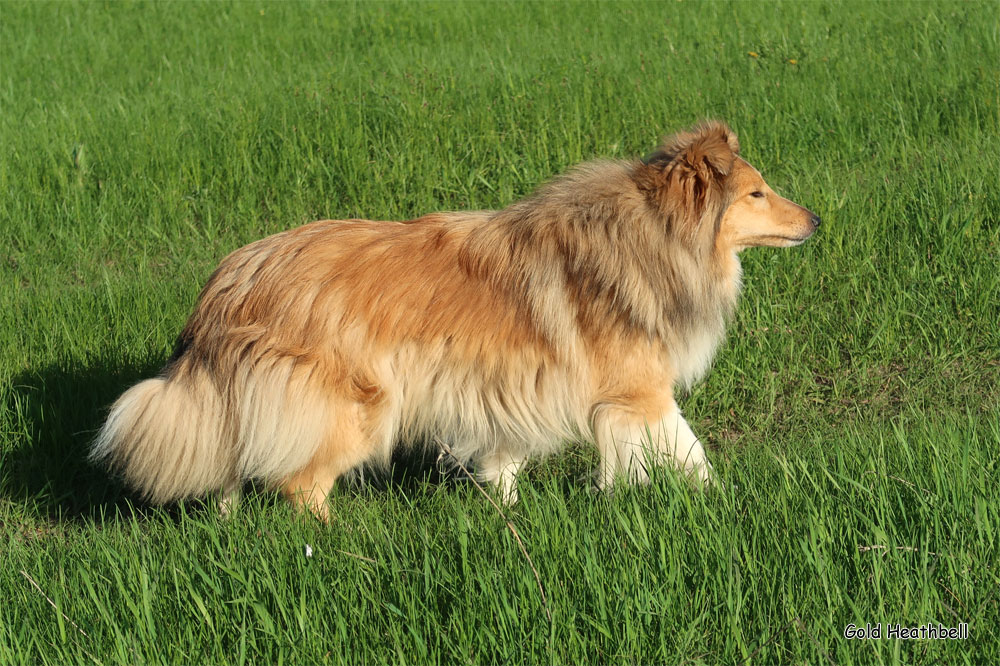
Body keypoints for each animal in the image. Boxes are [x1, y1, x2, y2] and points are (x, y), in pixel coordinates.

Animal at [90, 120, 816, 520]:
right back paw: (342, 545)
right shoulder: (640, 393)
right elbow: (692, 454)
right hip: (356, 408)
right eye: (757, 193)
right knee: (301, 488)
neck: (651, 235)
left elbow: (506, 459)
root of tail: (229, 281)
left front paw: (510, 514)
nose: (814, 220)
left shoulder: (515, 385)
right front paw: (726, 501)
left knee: (233, 471)